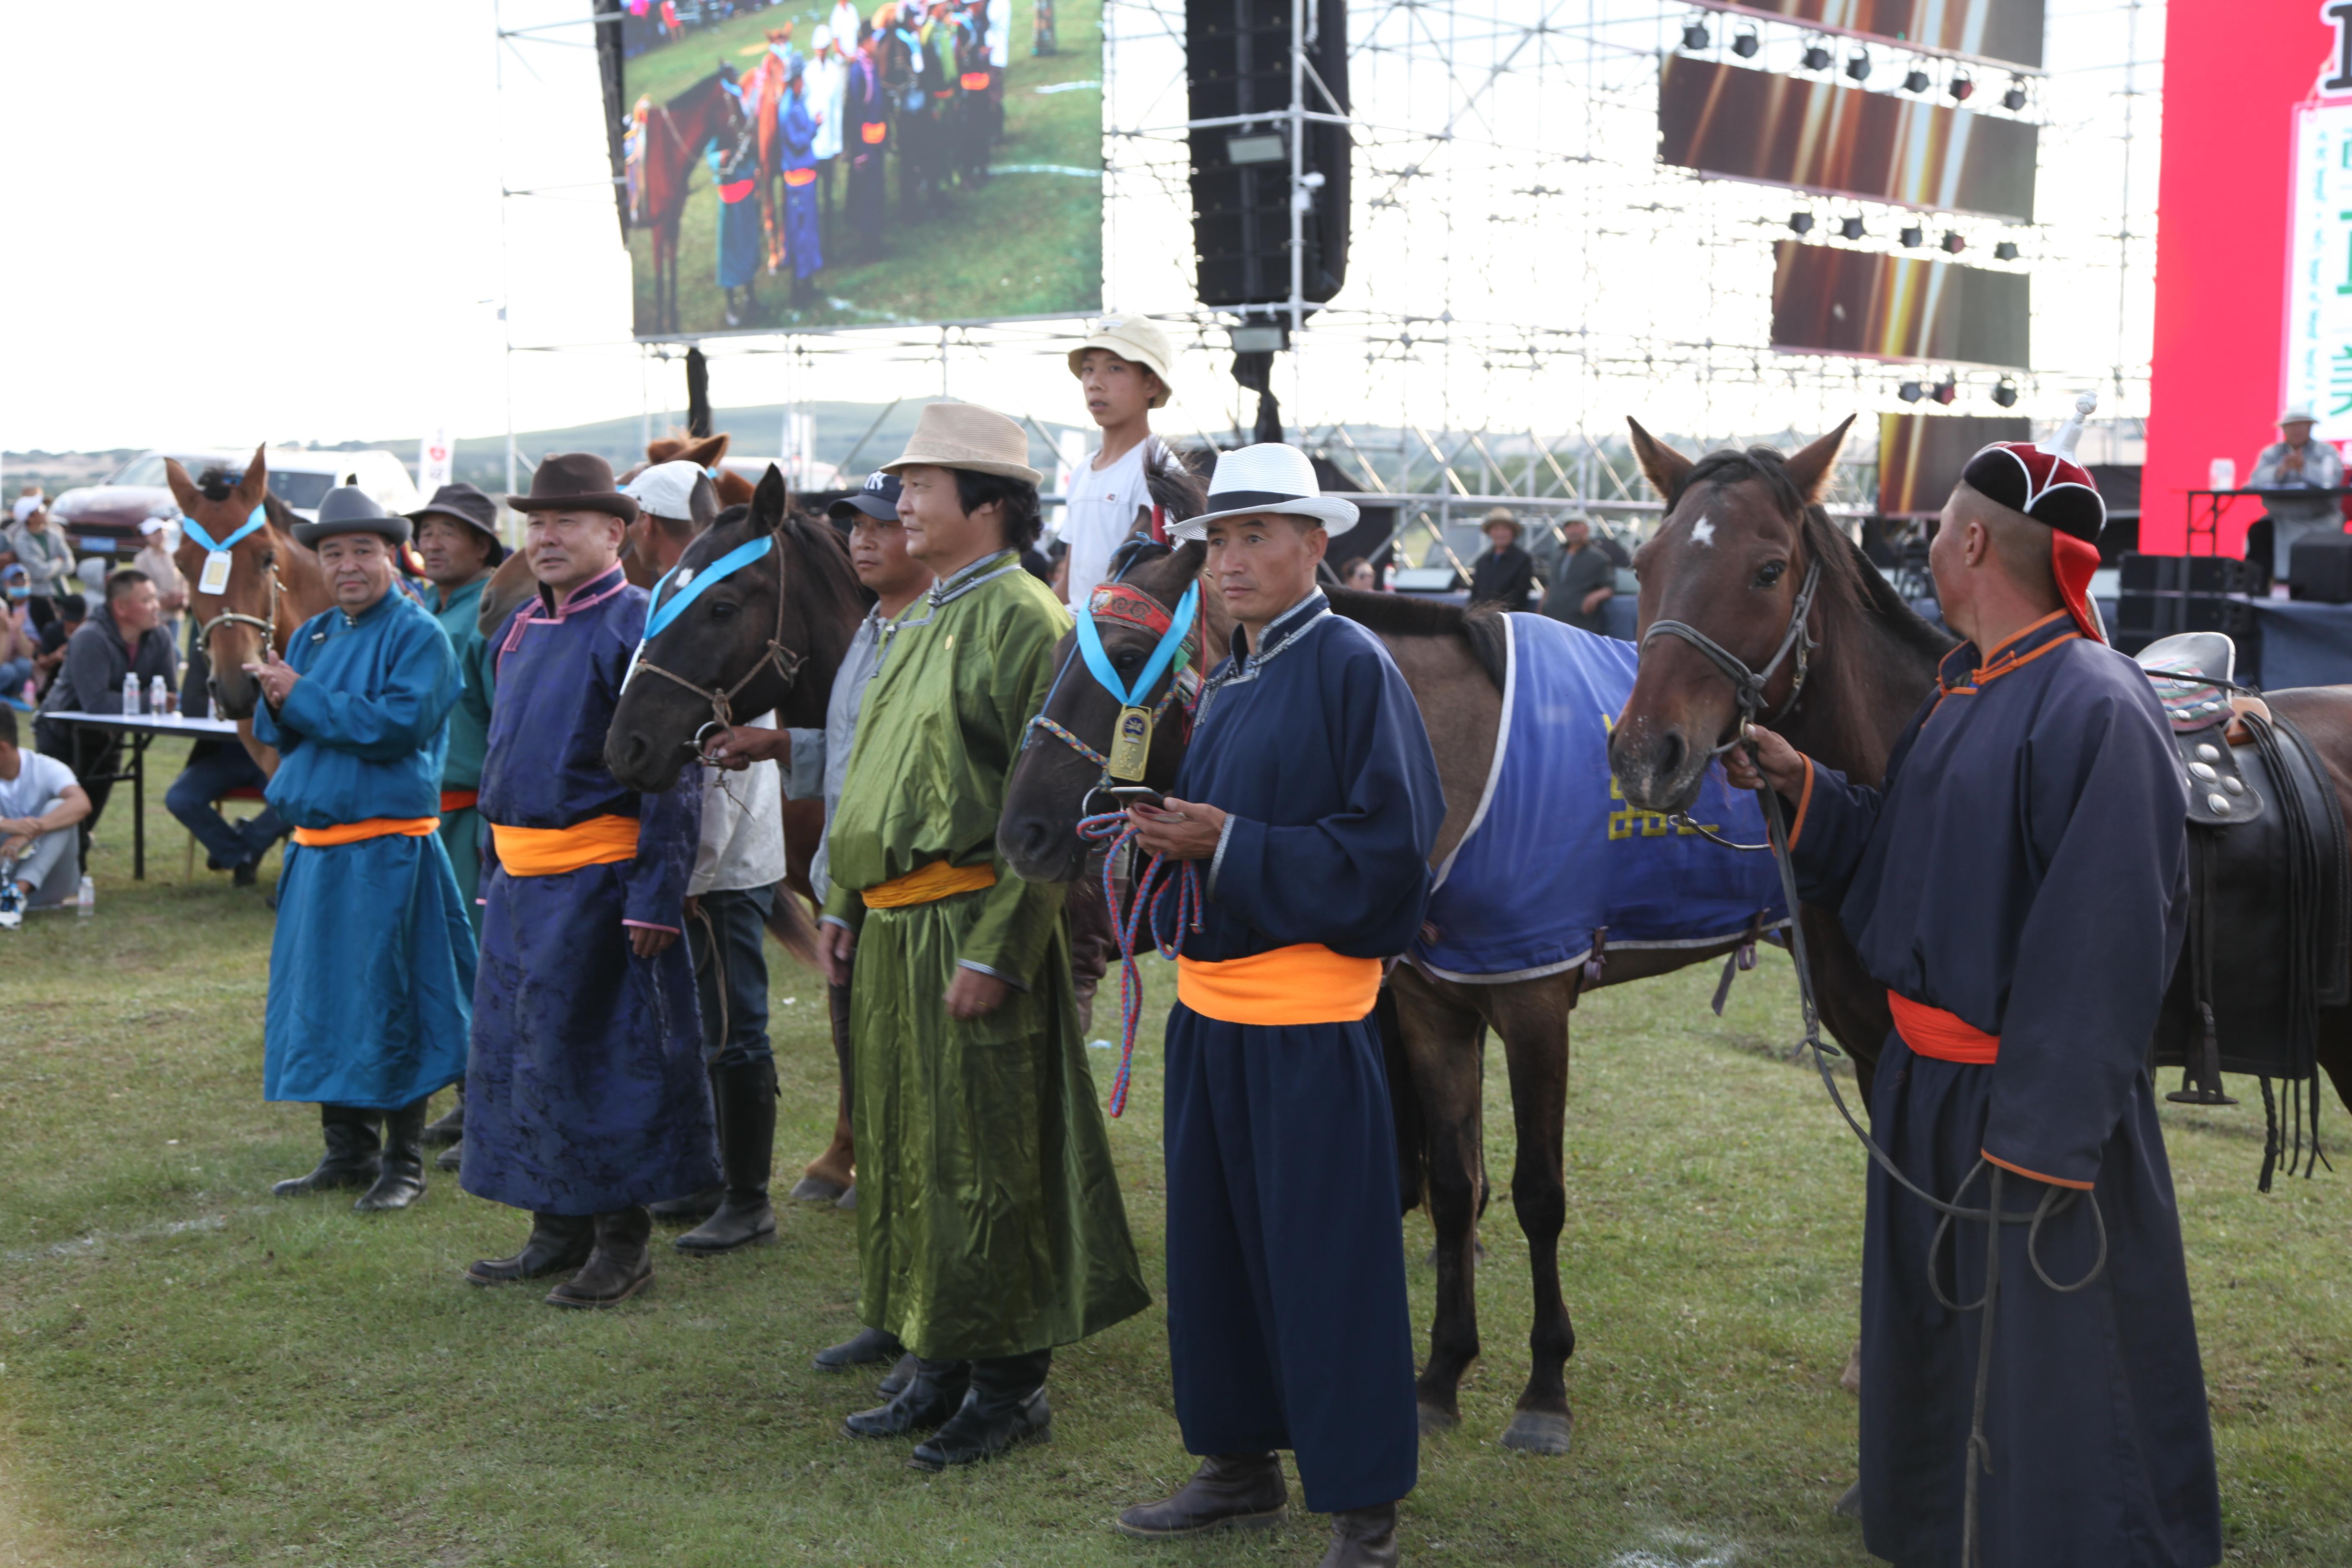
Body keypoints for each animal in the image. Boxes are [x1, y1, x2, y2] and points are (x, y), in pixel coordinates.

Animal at [997, 534, 1891, 1457]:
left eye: (1125, 654)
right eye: (1056, 652)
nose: (1022, 829)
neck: (1462, 764)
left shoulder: (1531, 999)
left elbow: (1537, 1193)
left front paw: (1544, 1386)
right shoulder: (1432, 1003)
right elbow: (1457, 1184)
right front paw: (1441, 1371)